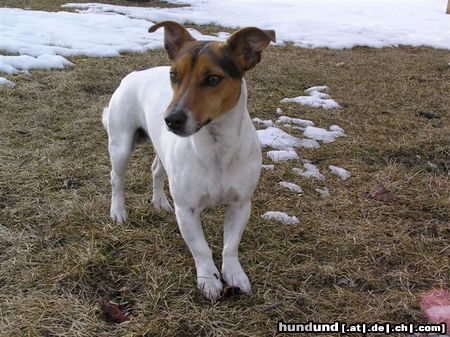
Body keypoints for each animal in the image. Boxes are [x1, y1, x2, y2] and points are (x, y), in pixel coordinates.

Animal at [102, 20, 276, 300]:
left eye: (213, 79)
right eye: (174, 76)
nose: (171, 119)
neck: (216, 147)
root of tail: (134, 74)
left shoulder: (240, 204)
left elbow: (230, 245)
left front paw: (234, 274)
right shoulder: (186, 211)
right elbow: (201, 249)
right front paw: (209, 279)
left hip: (161, 151)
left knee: (156, 169)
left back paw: (160, 201)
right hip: (120, 144)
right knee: (116, 178)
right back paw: (118, 211)